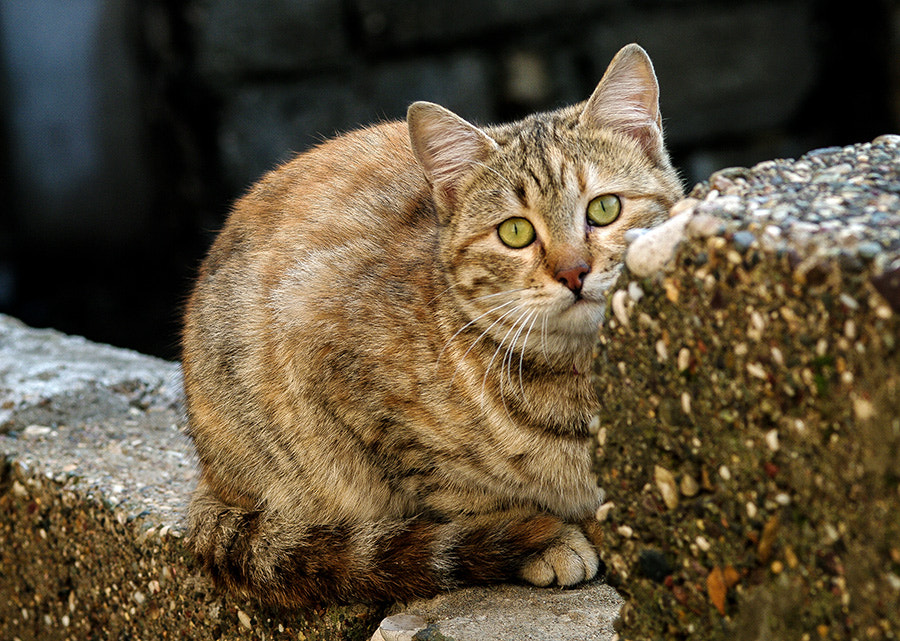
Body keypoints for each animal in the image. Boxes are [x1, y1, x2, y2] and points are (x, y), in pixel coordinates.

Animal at [183, 41, 684, 604]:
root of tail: (209, 475)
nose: (573, 271)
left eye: (604, 208)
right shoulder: (326, 356)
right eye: (515, 232)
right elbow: (457, 492)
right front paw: (541, 535)